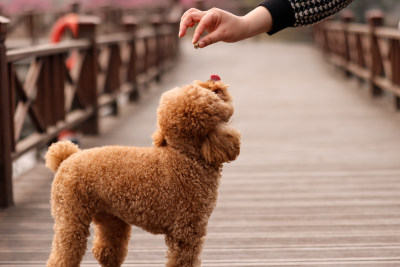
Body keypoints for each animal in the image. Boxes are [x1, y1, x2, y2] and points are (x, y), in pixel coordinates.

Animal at [45, 76, 242, 266]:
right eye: (212, 94)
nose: (214, 82)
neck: (185, 156)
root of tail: (66, 159)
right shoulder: (186, 229)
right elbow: (184, 260)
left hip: (110, 216)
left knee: (107, 251)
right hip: (70, 215)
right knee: (63, 255)